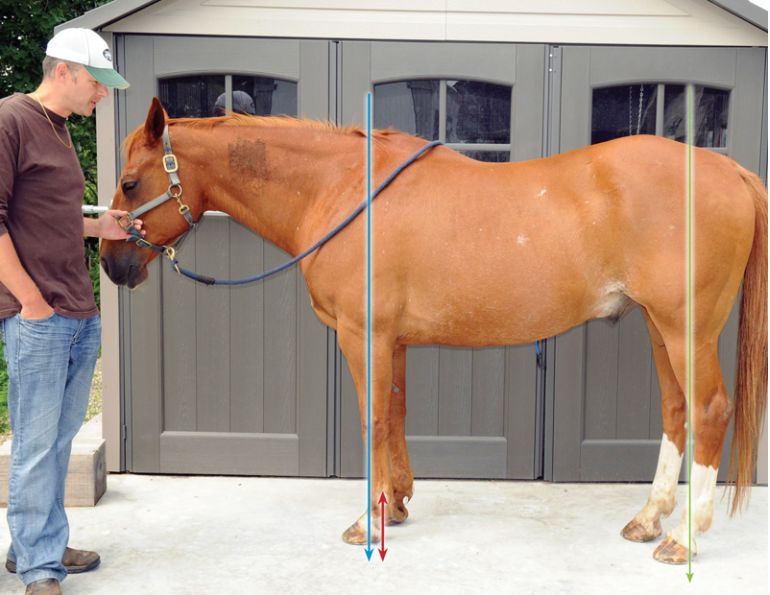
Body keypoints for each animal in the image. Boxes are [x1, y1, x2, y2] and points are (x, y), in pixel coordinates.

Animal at [101, 97, 767, 565]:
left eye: (130, 183)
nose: (111, 264)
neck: (344, 191)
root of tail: (731, 170)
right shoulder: (391, 341)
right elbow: (394, 415)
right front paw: (395, 506)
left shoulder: (362, 336)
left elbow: (371, 421)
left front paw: (368, 523)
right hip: (659, 326)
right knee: (677, 411)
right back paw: (650, 518)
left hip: (686, 329)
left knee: (709, 410)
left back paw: (685, 538)